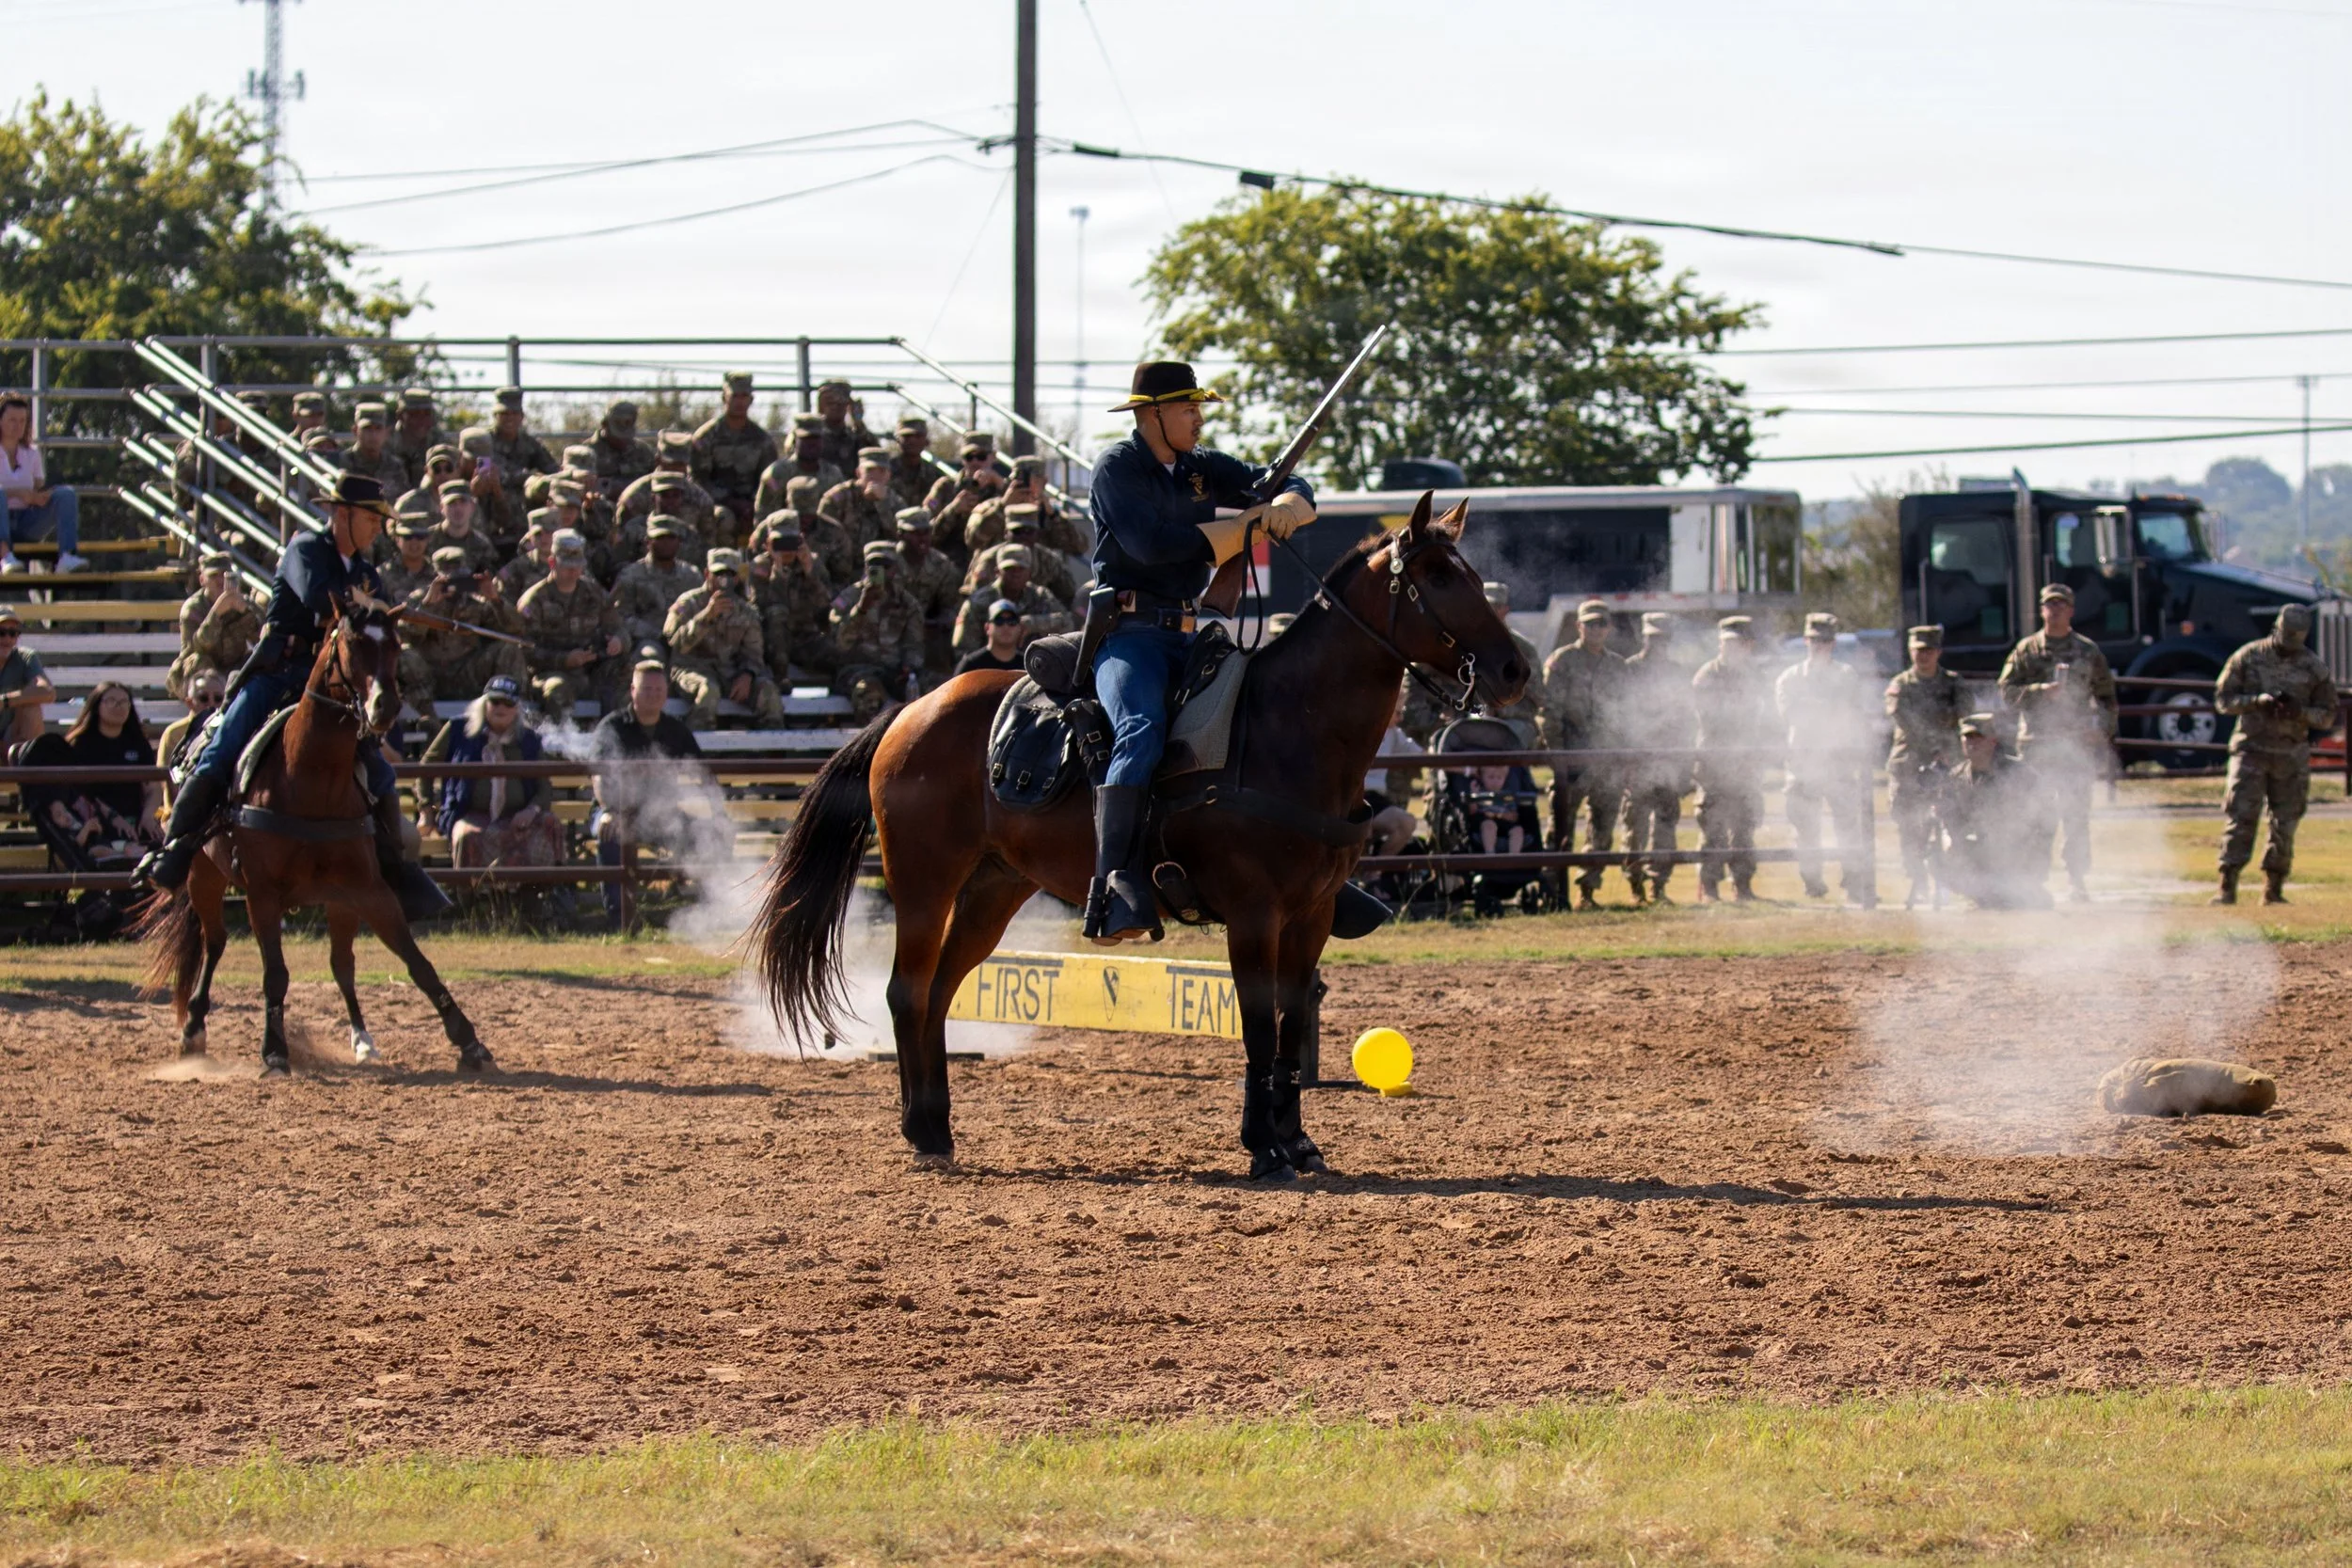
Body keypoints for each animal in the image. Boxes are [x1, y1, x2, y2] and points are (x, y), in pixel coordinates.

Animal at [139, 604, 494, 1077]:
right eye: (350, 645)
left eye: (394, 645)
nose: (384, 706)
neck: (310, 776)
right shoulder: (262, 894)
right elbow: (275, 974)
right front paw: (274, 1050)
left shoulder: (367, 889)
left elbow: (417, 963)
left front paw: (469, 1042)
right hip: (204, 875)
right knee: (214, 942)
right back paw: (194, 1030)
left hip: (337, 899)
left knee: (341, 964)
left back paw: (363, 1040)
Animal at [753, 492, 1527, 1176]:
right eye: (1437, 576)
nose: (1513, 669)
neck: (1285, 728)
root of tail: (911, 710)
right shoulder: (1253, 915)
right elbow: (1256, 1025)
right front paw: (1263, 1147)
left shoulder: (1309, 916)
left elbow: (1285, 1027)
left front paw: (1297, 1141)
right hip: (922, 880)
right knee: (907, 991)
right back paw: (919, 1130)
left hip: (993, 889)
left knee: (940, 993)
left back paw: (939, 1128)